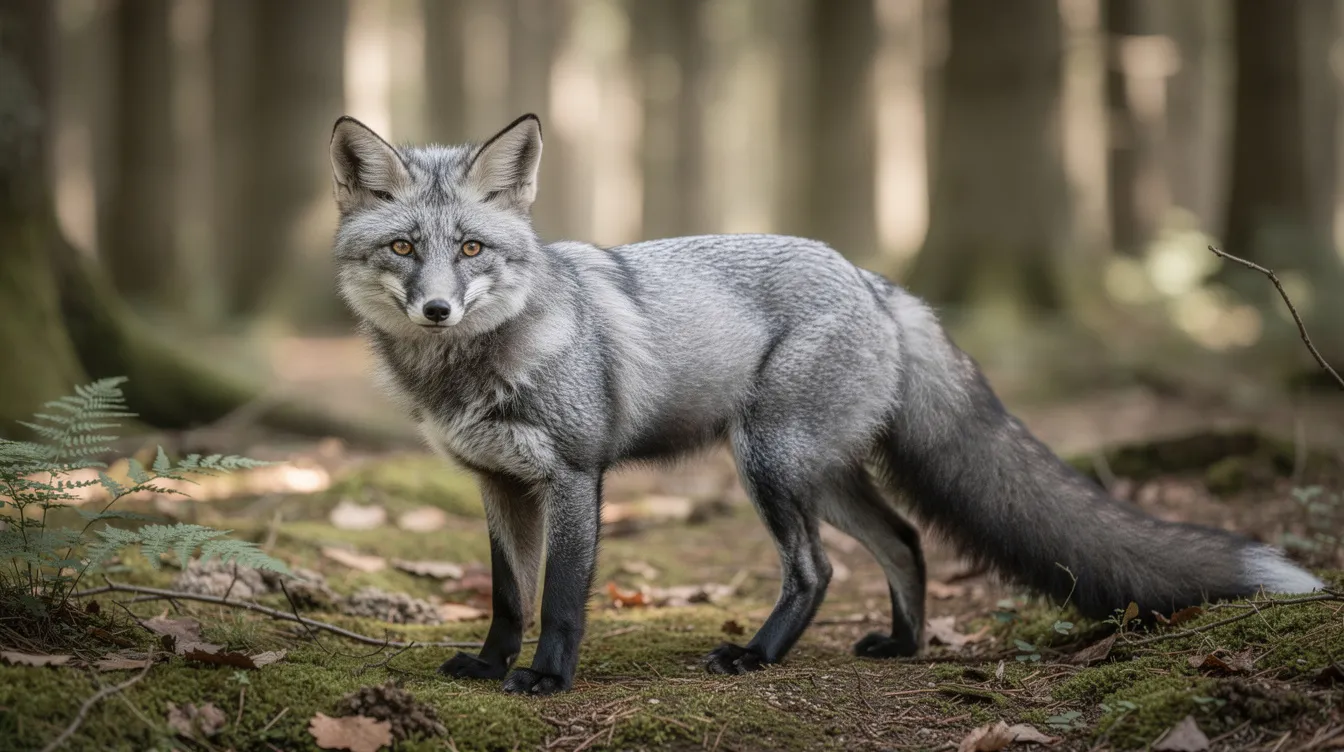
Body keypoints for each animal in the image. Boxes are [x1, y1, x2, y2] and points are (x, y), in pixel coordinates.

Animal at [328, 113, 1324, 695]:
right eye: (404, 246)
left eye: (471, 248)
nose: (436, 309)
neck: (471, 369)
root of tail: (874, 280)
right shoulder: (497, 484)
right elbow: (507, 595)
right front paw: (491, 666)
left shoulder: (575, 475)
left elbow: (564, 597)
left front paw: (544, 678)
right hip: (821, 473)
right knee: (907, 540)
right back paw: (905, 645)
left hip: (770, 466)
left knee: (817, 570)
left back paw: (758, 655)